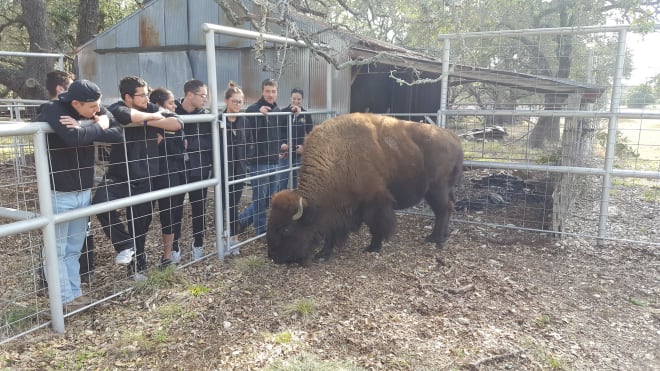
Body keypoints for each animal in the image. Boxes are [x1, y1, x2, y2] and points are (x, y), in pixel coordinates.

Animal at [266, 112, 462, 264]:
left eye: (286, 229)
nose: (273, 257)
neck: (336, 157)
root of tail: (452, 136)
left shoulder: (375, 202)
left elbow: (376, 225)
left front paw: (373, 248)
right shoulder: (336, 209)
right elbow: (331, 232)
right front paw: (323, 254)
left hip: (437, 189)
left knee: (443, 209)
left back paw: (435, 239)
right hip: (437, 191)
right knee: (446, 208)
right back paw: (441, 236)